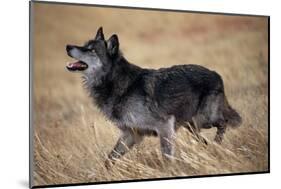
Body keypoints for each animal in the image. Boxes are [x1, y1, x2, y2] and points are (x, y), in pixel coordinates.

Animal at [65, 27, 241, 167]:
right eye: (84, 45)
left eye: (91, 50)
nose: (67, 46)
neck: (117, 82)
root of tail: (216, 74)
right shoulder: (130, 135)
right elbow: (109, 159)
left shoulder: (164, 127)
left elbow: (166, 157)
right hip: (192, 127)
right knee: (205, 140)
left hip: (203, 120)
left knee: (224, 122)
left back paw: (217, 145)